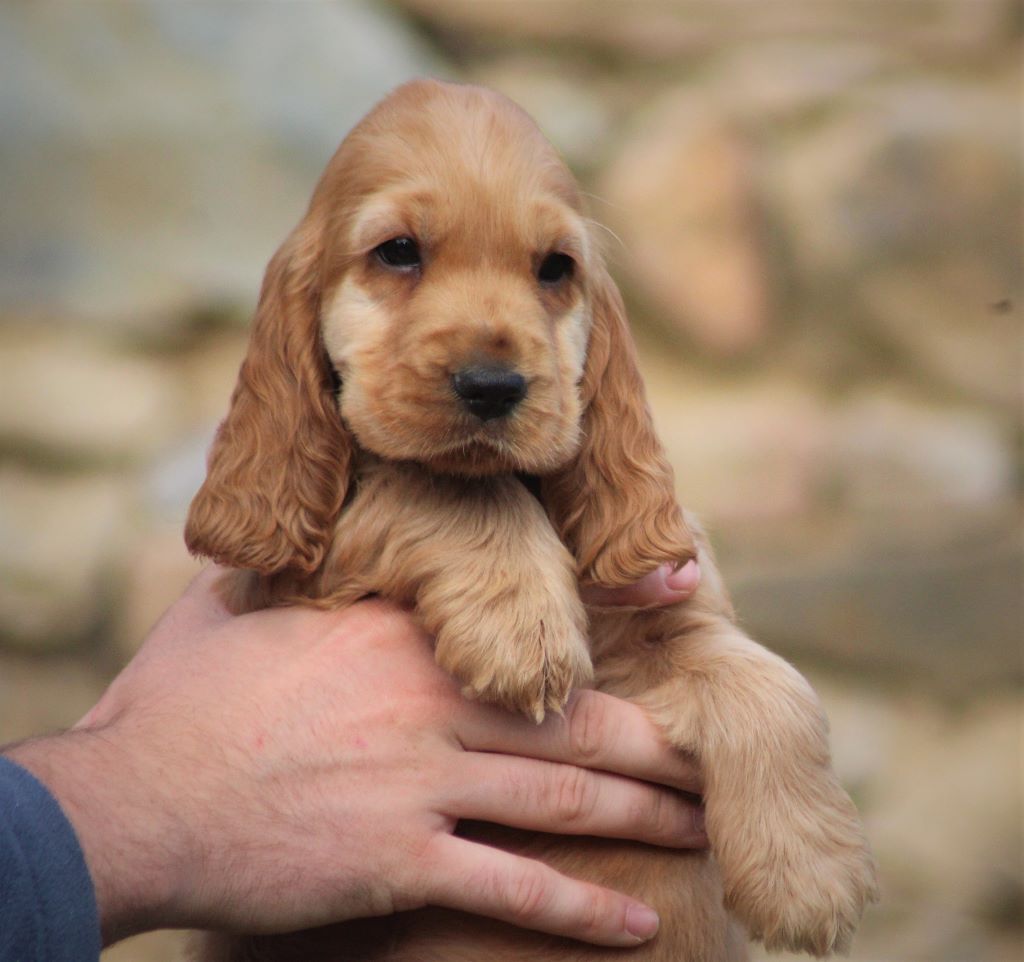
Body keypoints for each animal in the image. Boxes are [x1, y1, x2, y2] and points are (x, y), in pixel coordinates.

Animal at [188, 78, 876, 958]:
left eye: (555, 268)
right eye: (398, 252)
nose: (492, 385)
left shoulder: (661, 617)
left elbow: (774, 683)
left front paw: (810, 874)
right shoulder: (289, 581)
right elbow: (438, 484)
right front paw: (524, 629)